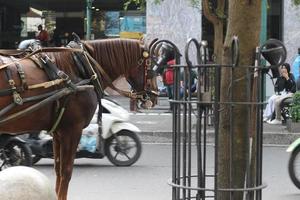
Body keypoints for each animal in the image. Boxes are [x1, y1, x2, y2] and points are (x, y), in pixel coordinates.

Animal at [0, 38, 158, 199]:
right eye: (151, 65)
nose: (155, 95)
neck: (82, 68)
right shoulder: (72, 130)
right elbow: (66, 171)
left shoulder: (58, 132)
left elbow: (58, 169)